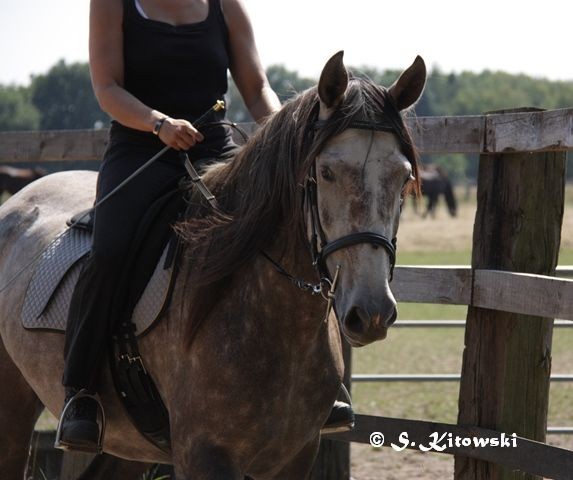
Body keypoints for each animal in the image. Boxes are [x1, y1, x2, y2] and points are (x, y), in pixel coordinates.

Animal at [0, 50, 424, 478]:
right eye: (326, 172)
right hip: (14, 410)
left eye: (403, 177)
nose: (371, 313)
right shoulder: (203, 454)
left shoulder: (296, 455)